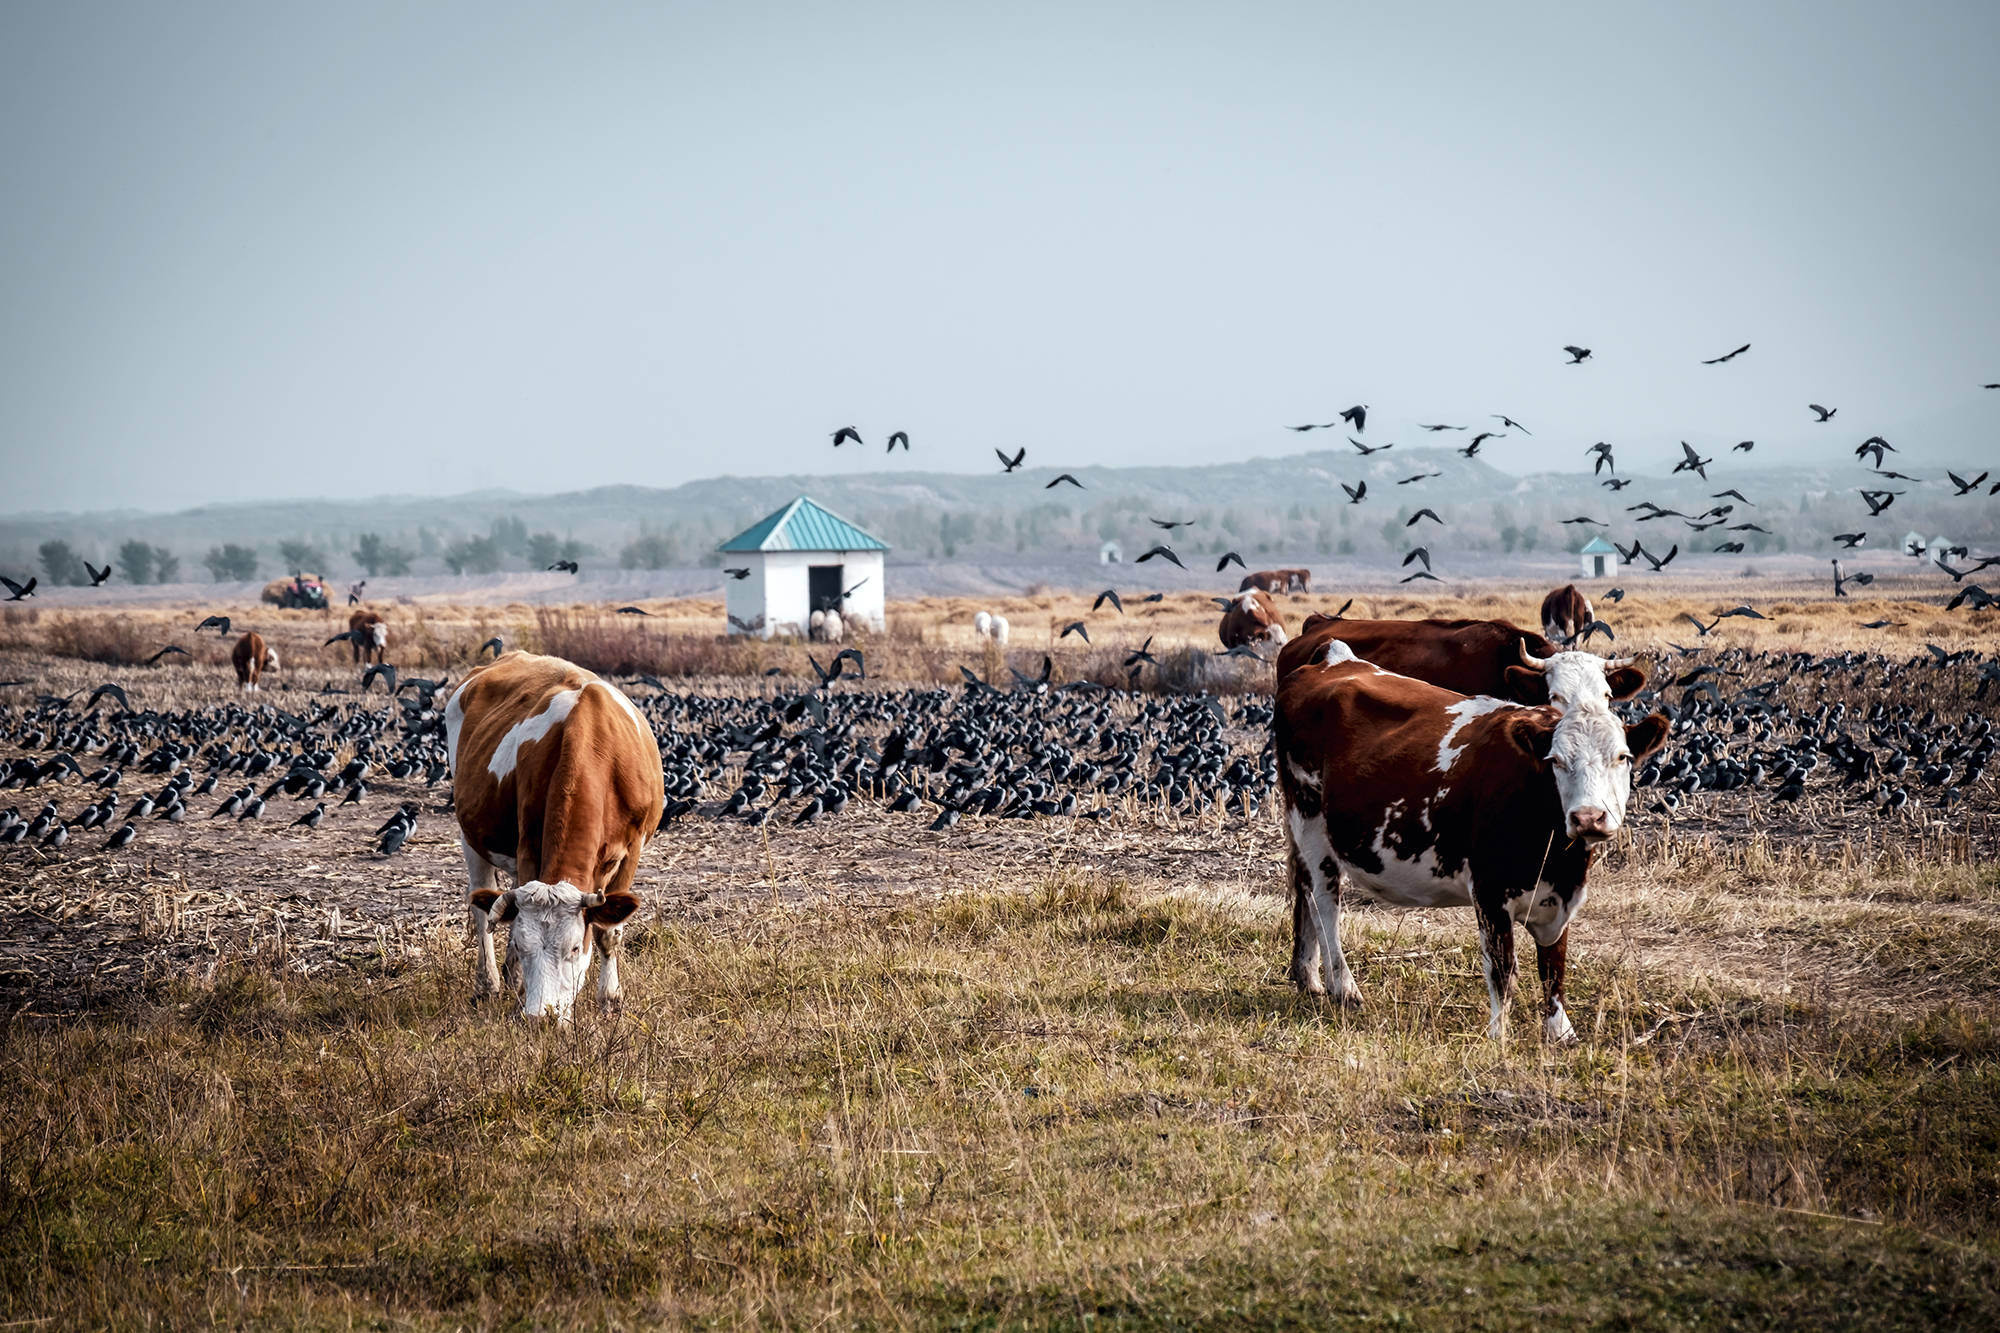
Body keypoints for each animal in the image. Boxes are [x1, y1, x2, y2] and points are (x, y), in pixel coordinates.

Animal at [446, 644, 664, 1016]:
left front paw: (610, 1000)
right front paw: (520, 989)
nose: (540, 1018)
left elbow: (609, 932)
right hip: (470, 834)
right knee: (481, 907)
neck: (594, 745)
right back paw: (489, 985)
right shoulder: (529, 843)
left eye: (575, 948)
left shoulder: (632, 849)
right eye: (525, 945)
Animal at [1272, 640, 1664, 1040]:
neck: (1556, 855)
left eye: (1623, 757)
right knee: (1324, 901)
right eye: (1555, 760)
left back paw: (1309, 978)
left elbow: (1553, 966)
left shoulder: (1561, 898)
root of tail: (1333, 658)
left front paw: (1560, 1031)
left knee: (1304, 890)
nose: (1588, 817)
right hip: (1309, 820)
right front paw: (1498, 1036)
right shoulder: (1490, 893)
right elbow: (1502, 970)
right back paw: (1344, 986)